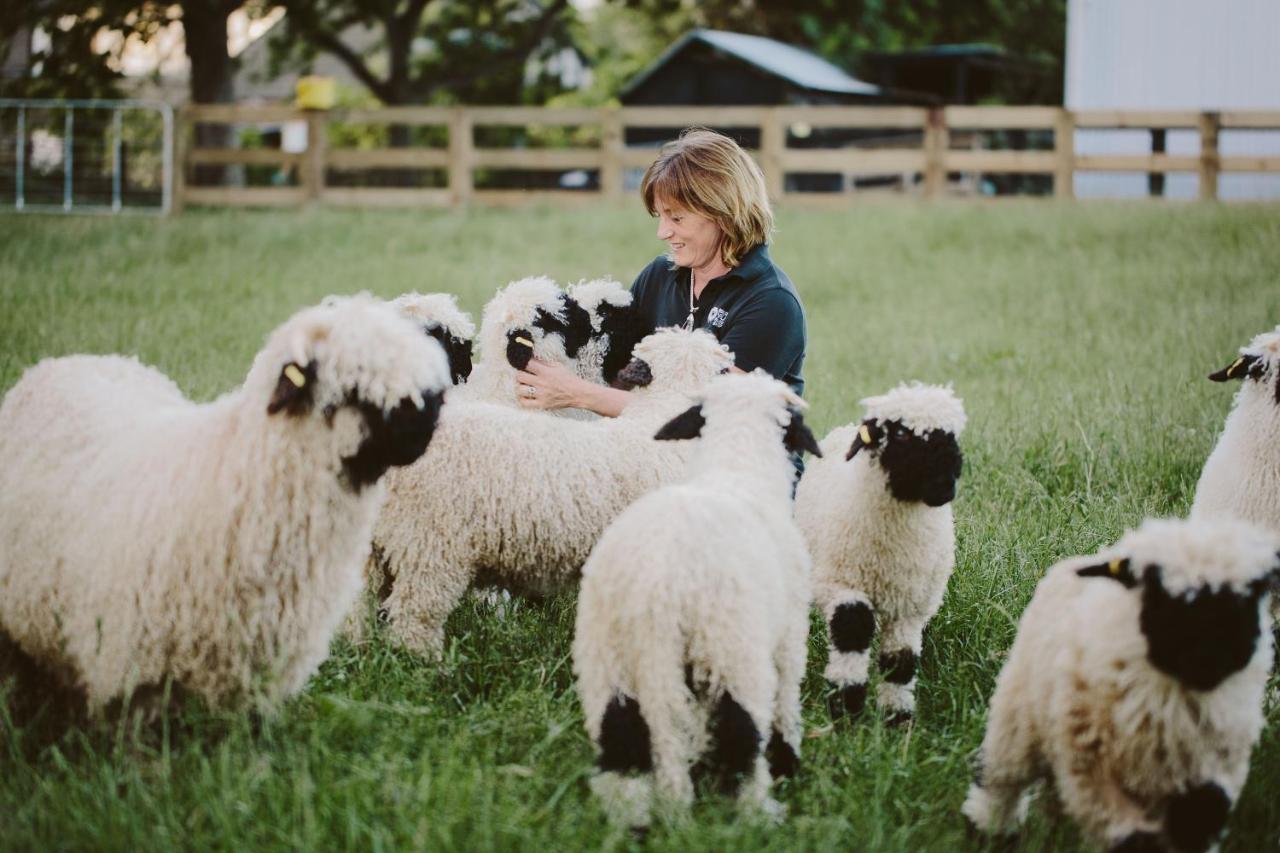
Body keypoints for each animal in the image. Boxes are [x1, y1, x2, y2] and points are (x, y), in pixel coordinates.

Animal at [573, 371, 819, 824]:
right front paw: (788, 763)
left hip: (607, 662)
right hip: (731, 652)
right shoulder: (789, 636)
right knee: (735, 736)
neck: (737, 468)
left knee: (620, 751)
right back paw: (745, 814)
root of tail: (653, 589)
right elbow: (786, 706)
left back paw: (634, 823)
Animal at [793, 381, 962, 722]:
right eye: (901, 434)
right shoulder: (841, 585)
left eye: (952, 436)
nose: (945, 485)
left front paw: (897, 719)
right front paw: (847, 712)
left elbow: (901, 661)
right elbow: (853, 631)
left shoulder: (912, 605)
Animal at [962, 514, 1280, 845]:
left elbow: (1196, 823)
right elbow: (1135, 840)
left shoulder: (1215, 770)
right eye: (1160, 595)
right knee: (1001, 778)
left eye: (1250, 596)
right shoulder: (1093, 772)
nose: (1210, 658)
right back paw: (990, 830)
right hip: (1018, 719)